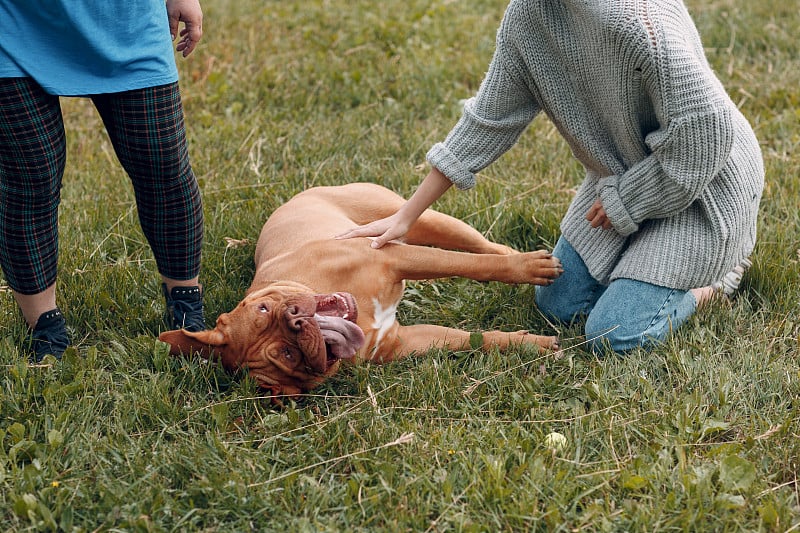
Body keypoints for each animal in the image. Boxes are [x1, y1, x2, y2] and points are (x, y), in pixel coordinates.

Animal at [158, 183, 564, 400]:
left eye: (263, 310)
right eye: (288, 356)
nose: (294, 321)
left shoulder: (393, 256)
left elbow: (469, 265)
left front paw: (529, 270)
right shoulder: (404, 341)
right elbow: (473, 338)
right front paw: (531, 344)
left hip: (416, 218)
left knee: (482, 248)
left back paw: (525, 257)